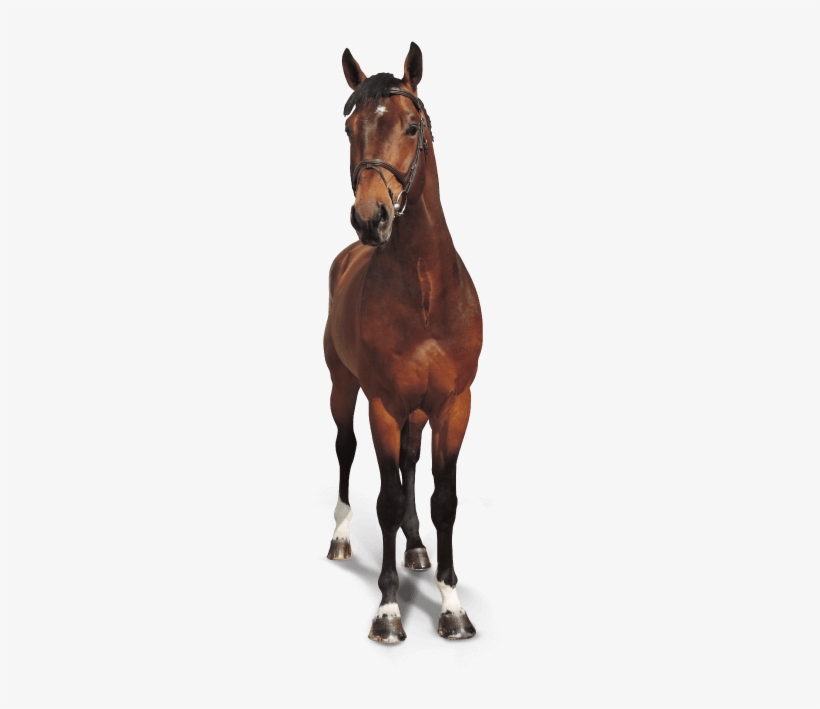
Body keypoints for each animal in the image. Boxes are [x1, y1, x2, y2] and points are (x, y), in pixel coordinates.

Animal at [324, 42, 483, 643]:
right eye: (350, 130)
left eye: (412, 127)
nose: (371, 219)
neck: (425, 292)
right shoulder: (384, 405)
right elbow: (388, 499)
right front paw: (389, 610)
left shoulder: (453, 404)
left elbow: (443, 500)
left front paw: (452, 604)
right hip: (343, 387)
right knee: (345, 449)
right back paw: (341, 538)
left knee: (411, 464)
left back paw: (416, 550)